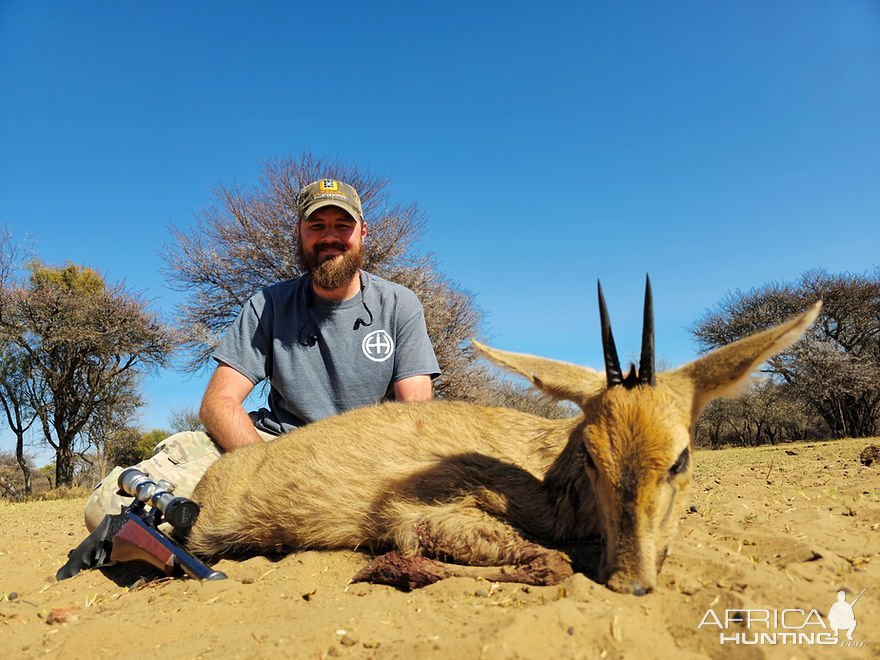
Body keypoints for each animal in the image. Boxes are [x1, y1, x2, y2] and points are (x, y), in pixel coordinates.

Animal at [184, 282, 820, 596]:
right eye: (591, 455)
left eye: (682, 458)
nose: (630, 582)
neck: (548, 472)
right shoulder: (419, 514)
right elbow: (553, 563)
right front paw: (384, 568)